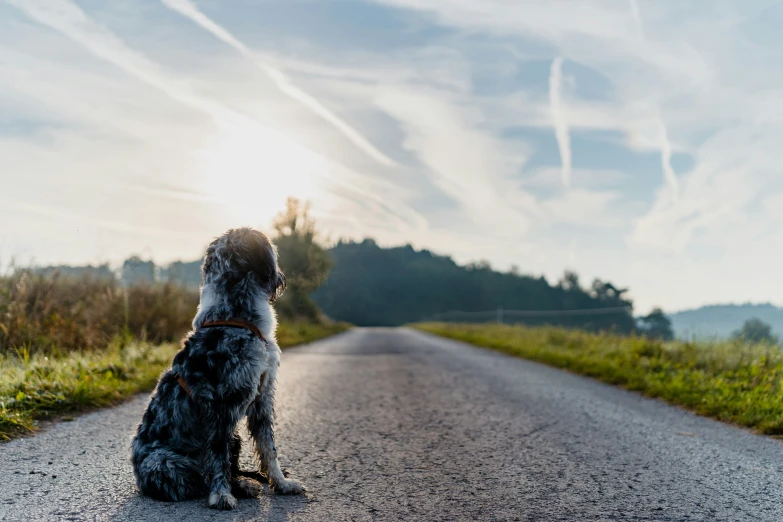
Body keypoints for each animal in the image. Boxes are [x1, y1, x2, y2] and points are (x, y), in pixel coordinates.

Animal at [130, 226, 304, 508]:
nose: (281, 277)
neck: (234, 316)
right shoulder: (222, 406)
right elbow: (218, 458)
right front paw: (221, 494)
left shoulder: (262, 398)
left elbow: (269, 449)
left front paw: (282, 483)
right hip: (165, 464)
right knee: (199, 477)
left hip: (234, 437)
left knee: (228, 466)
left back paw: (244, 482)